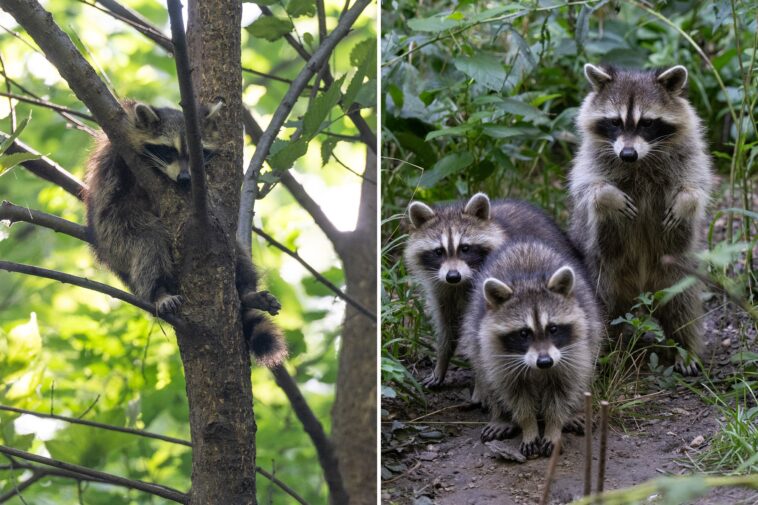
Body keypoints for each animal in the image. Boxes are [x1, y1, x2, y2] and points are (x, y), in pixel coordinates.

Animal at [84, 100, 286, 366]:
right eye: (168, 151)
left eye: (197, 154)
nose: (184, 178)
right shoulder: (117, 155)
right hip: (115, 236)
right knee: (148, 245)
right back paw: (158, 291)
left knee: (236, 252)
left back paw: (247, 291)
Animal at [403, 193, 570, 388]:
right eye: (438, 251)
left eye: (465, 248)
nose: (453, 276)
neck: (461, 283)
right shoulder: (442, 290)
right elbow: (447, 327)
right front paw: (441, 361)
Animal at [461, 239, 603, 458]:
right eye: (523, 333)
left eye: (553, 329)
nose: (545, 362)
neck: (528, 281)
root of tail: (524, 242)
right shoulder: (500, 358)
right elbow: (515, 394)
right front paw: (528, 427)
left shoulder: (571, 352)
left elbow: (564, 390)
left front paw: (554, 427)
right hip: (478, 337)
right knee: (486, 373)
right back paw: (501, 417)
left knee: (581, 375)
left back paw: (575, 411)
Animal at [569, 64, 714, 375]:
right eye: (614, 122)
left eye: (647, 123)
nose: (627, 154)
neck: (641, 161)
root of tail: (641, 289)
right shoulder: (590, 158)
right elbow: (589, 188)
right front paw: (608, 197)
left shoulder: (689, 153)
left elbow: (696, 186)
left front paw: (685, 202)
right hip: (601, 271)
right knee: (601, 310)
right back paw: (605, 355)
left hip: (679, 270)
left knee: (683, 306)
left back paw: (685, 347)